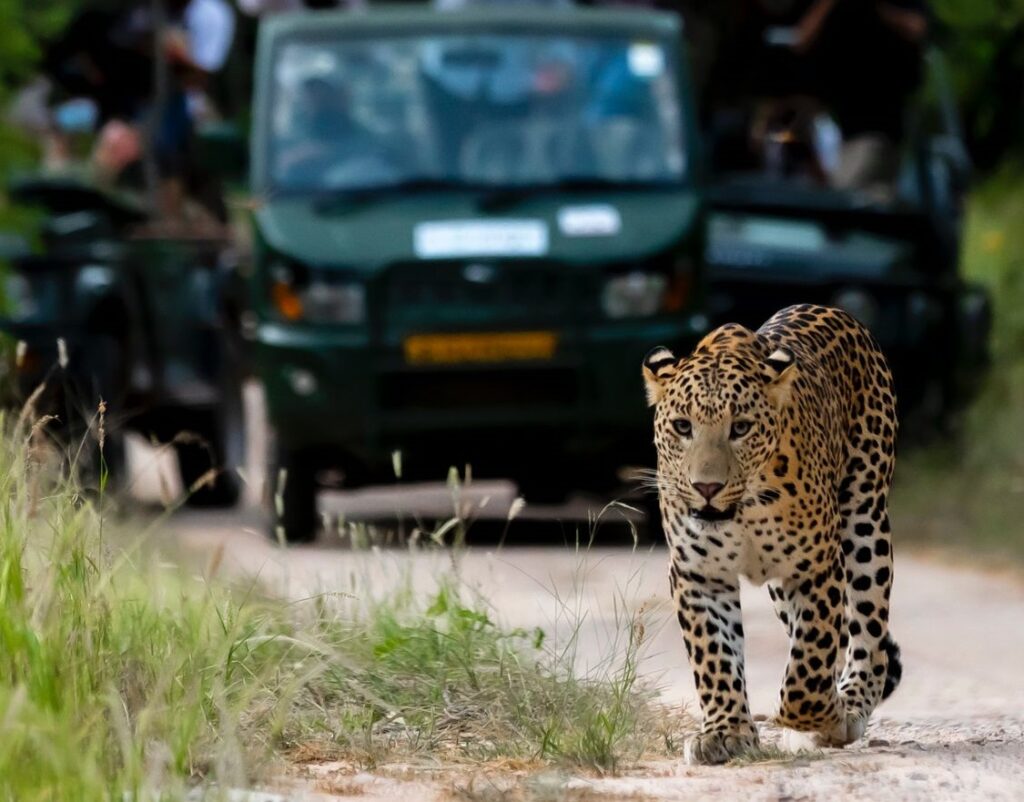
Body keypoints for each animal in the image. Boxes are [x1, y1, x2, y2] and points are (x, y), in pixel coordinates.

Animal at [642, 304, 902, 765]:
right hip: (781, 585)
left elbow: (809, 665)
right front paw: (725, 732)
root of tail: (826, 308)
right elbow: (715, 656)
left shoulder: (816, 568)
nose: (706, 487)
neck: (743, 511)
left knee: (867, 629)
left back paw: (852, 702)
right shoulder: (698, 574)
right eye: (683, 426)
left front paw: (825, 714)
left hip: (865, 519)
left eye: (741, 428)